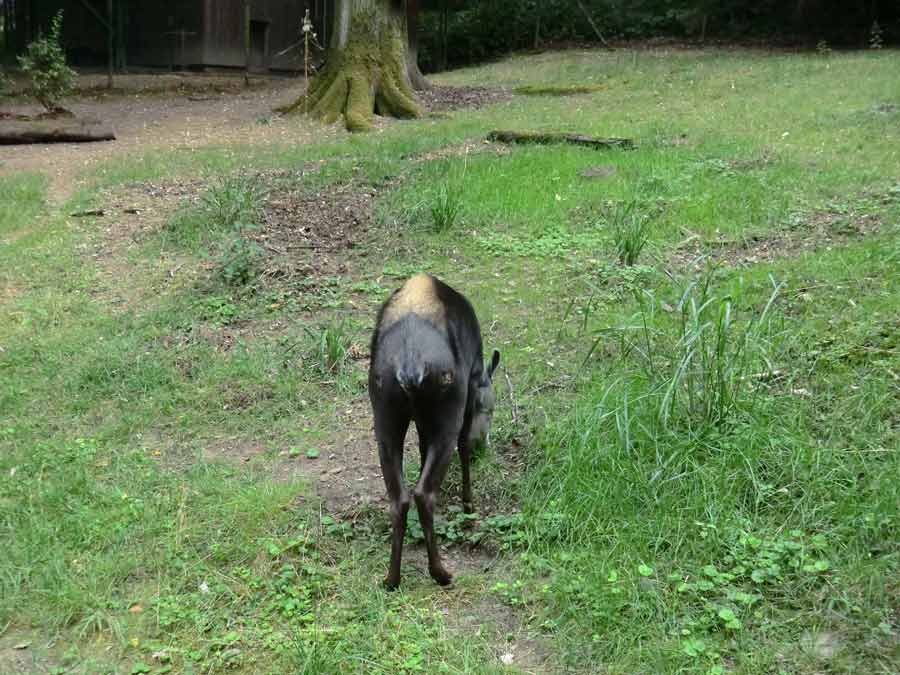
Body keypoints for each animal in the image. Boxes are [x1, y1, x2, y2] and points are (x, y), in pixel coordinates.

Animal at [370, 272, 502, 588]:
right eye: (489, 408)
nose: (483, 446)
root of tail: (409, 366)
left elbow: (420, 448)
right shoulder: (470, 387)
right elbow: (463, 446)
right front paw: (468, 504)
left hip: (384, 417)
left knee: (399, 498)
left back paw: (392, 578)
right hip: (448, 411)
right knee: (424, 492)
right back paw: (440, 572)